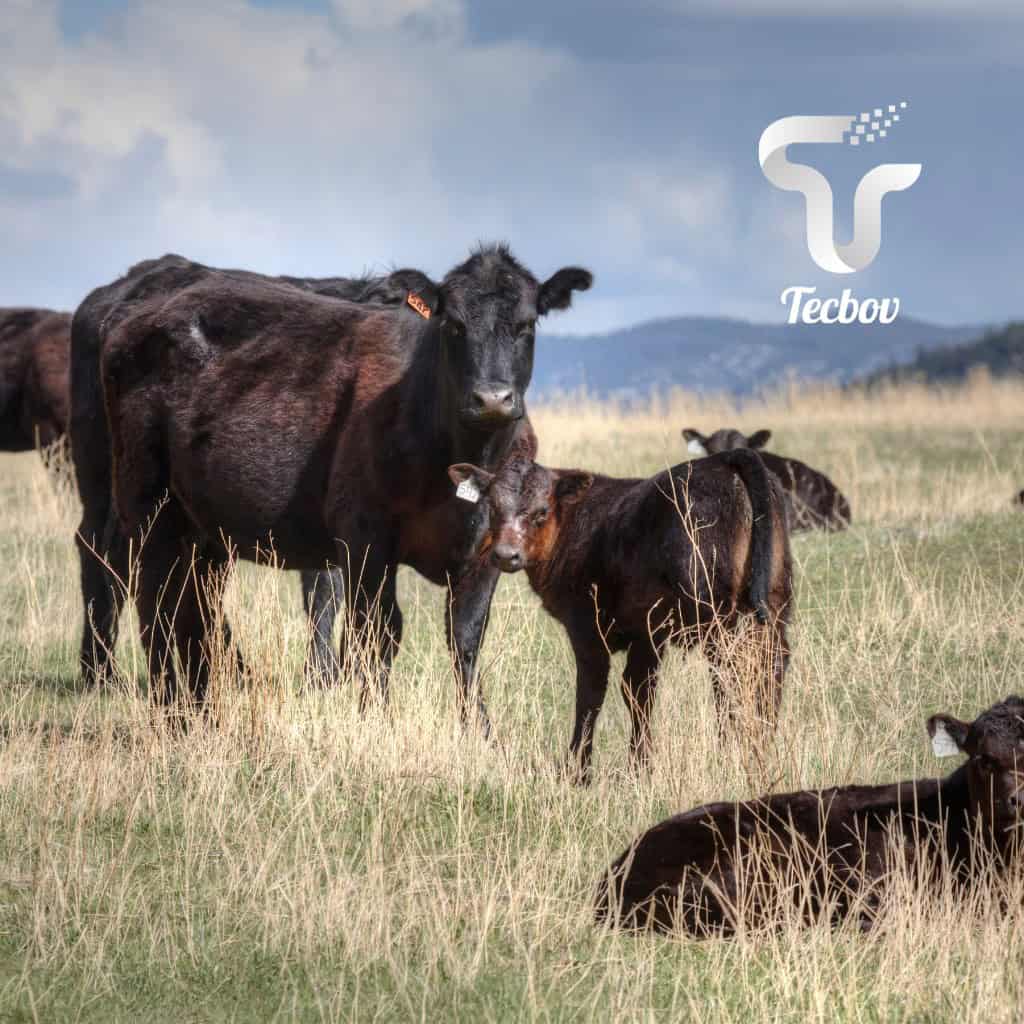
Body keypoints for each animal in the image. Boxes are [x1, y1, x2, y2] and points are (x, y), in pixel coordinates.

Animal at [448, 444, 790, 778]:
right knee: (770, 669)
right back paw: (761, 748)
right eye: (493, 508)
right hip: (773, 606)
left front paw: (578, 770)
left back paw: (731, 755)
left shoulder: (587, 627)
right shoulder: (647, 632)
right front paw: (639, 766)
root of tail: (726, 458)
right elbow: (639, 690)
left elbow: (591, 693)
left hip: (716, 615)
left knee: (732, 675)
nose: (506, 555)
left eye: (541, 512)